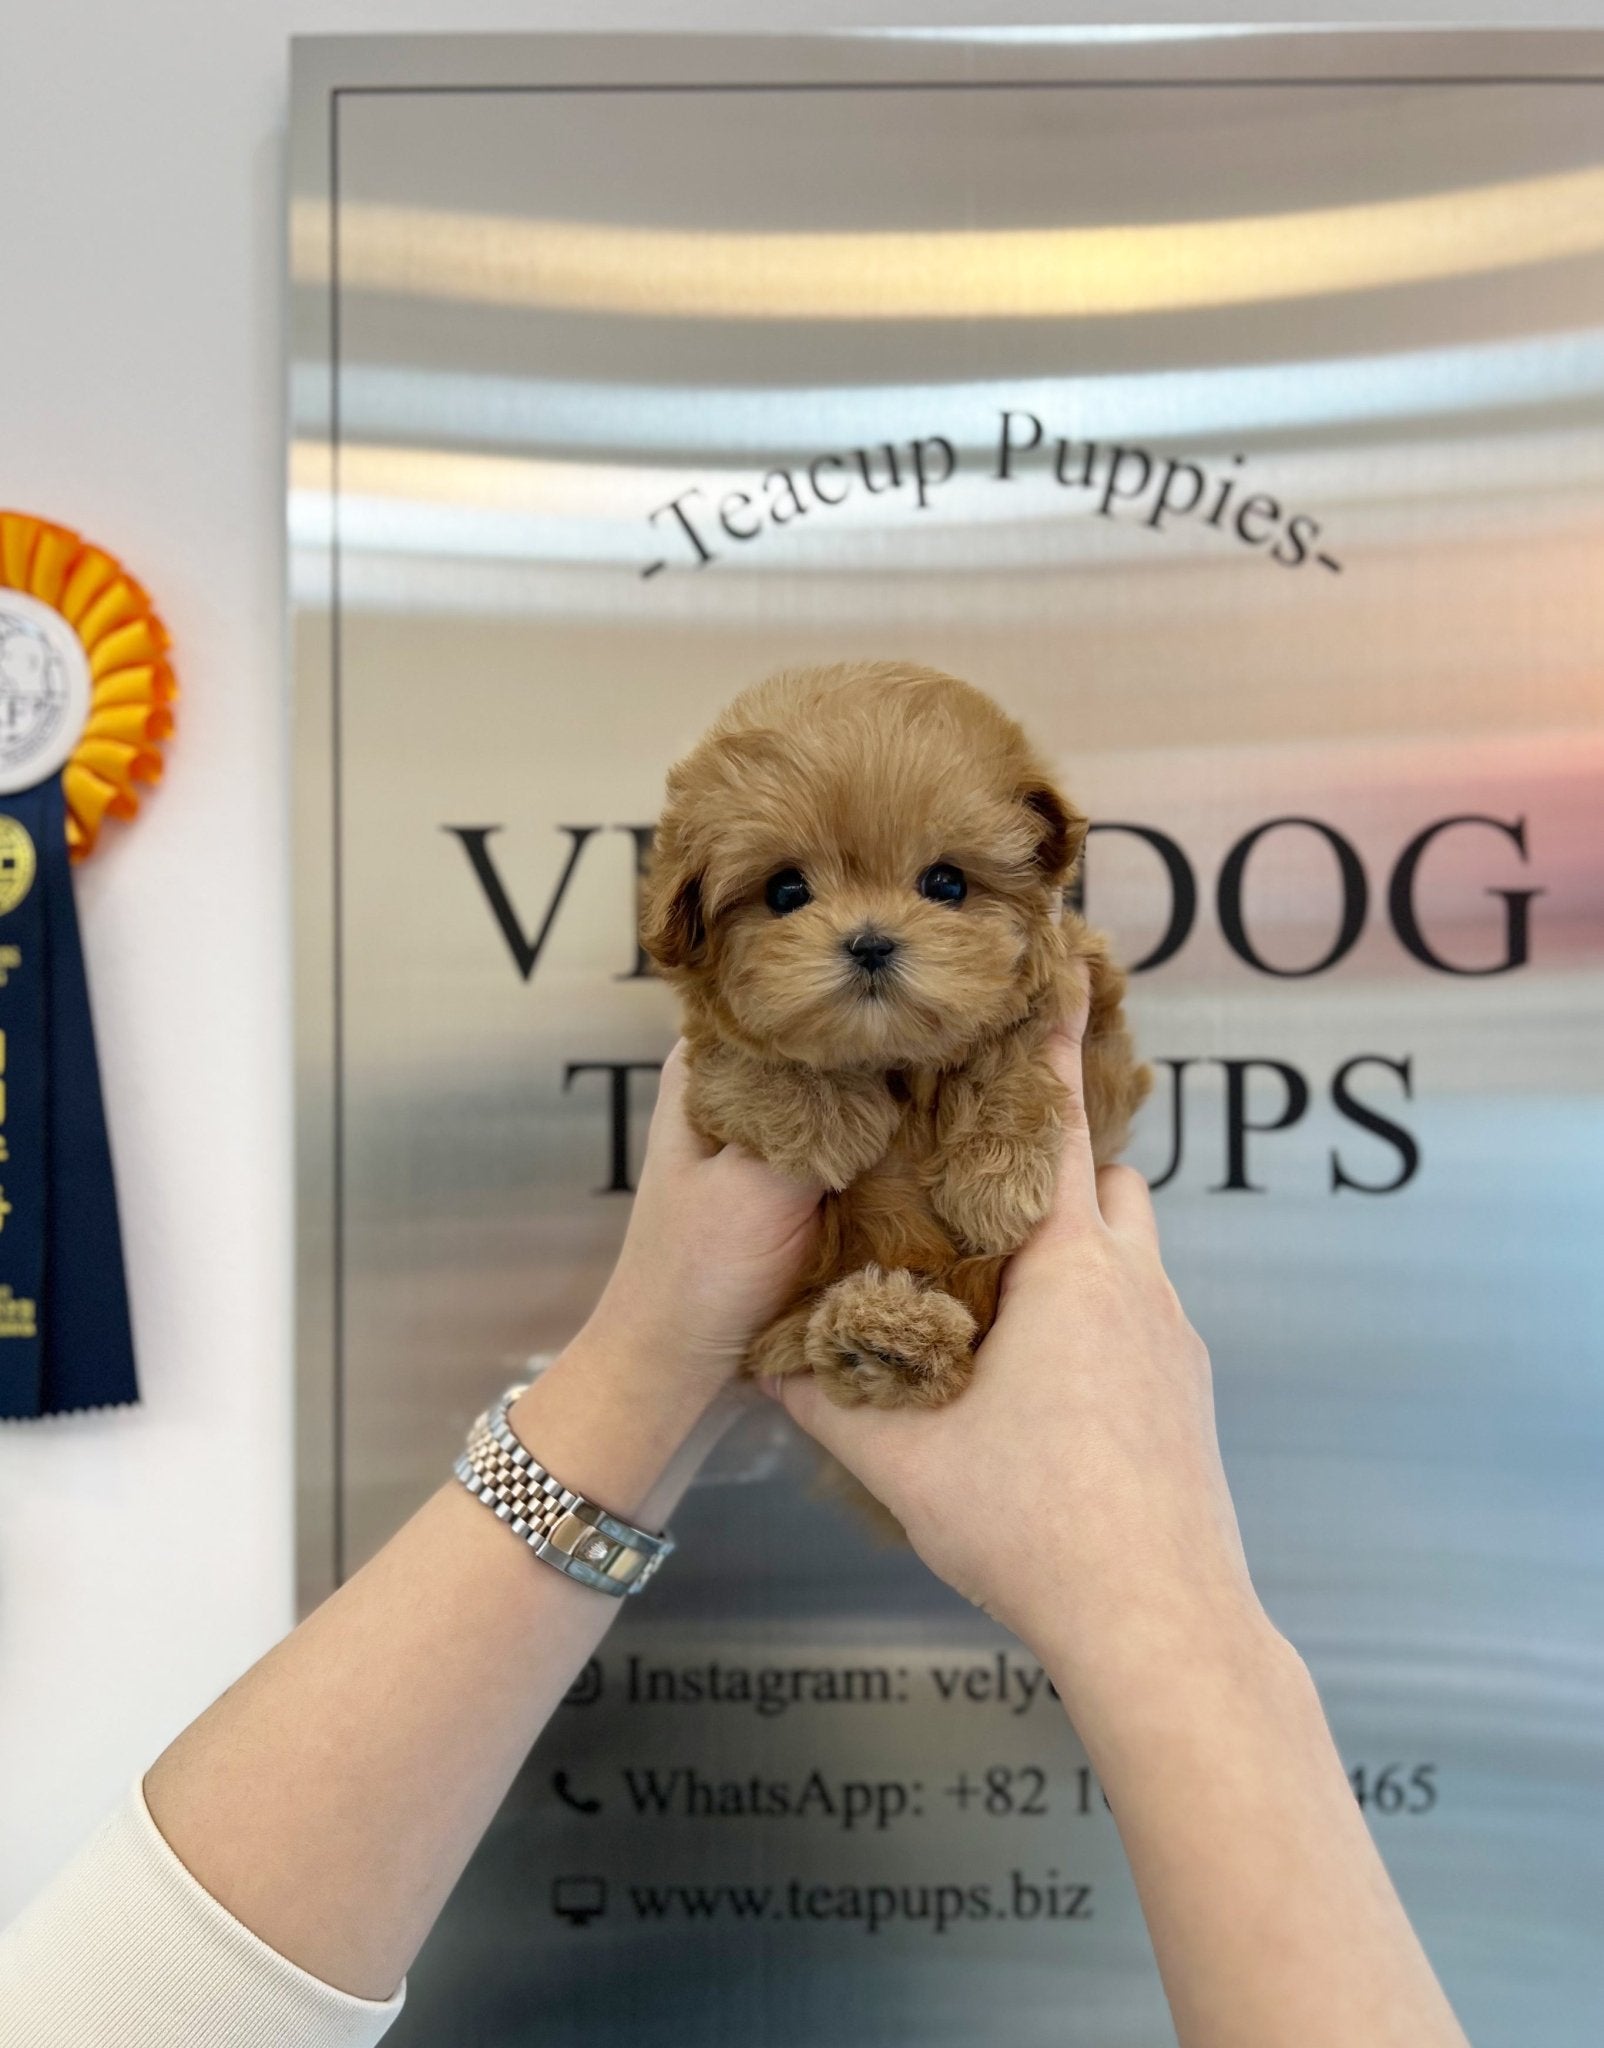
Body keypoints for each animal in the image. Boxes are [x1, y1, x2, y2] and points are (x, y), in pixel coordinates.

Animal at [643, 659, 1155, 1425]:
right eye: (786, 891)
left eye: (946, 882)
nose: (870, 943)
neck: (895, 1059)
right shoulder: (707, 1078)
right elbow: (745, 1057)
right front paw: (825, 1117)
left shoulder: (1098, 1040)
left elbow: (1016, 1048)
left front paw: (995, 1176)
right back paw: (877, 1336)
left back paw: (895, 1342)